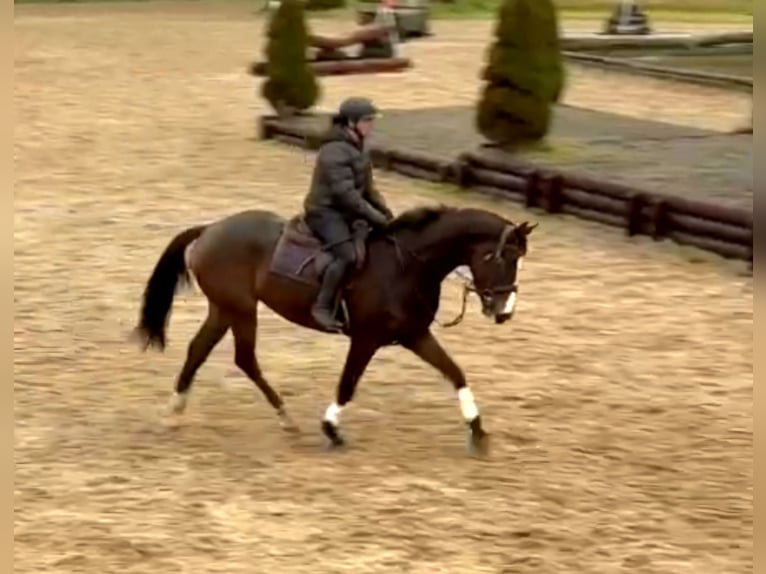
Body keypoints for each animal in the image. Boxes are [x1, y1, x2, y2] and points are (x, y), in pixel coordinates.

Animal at [132, 204, 536, 455]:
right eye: (502, 257)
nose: (504, 312)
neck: (406, 265)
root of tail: (211, 228)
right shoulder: (366, 339)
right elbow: (348, 384)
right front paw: (331, 428)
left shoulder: (415, 335)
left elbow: (455, 372)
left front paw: (478, 431)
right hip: (240, 310)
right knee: (244, 358)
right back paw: (284, 417)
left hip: (225, 310)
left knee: (201, 351)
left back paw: (177, 412)